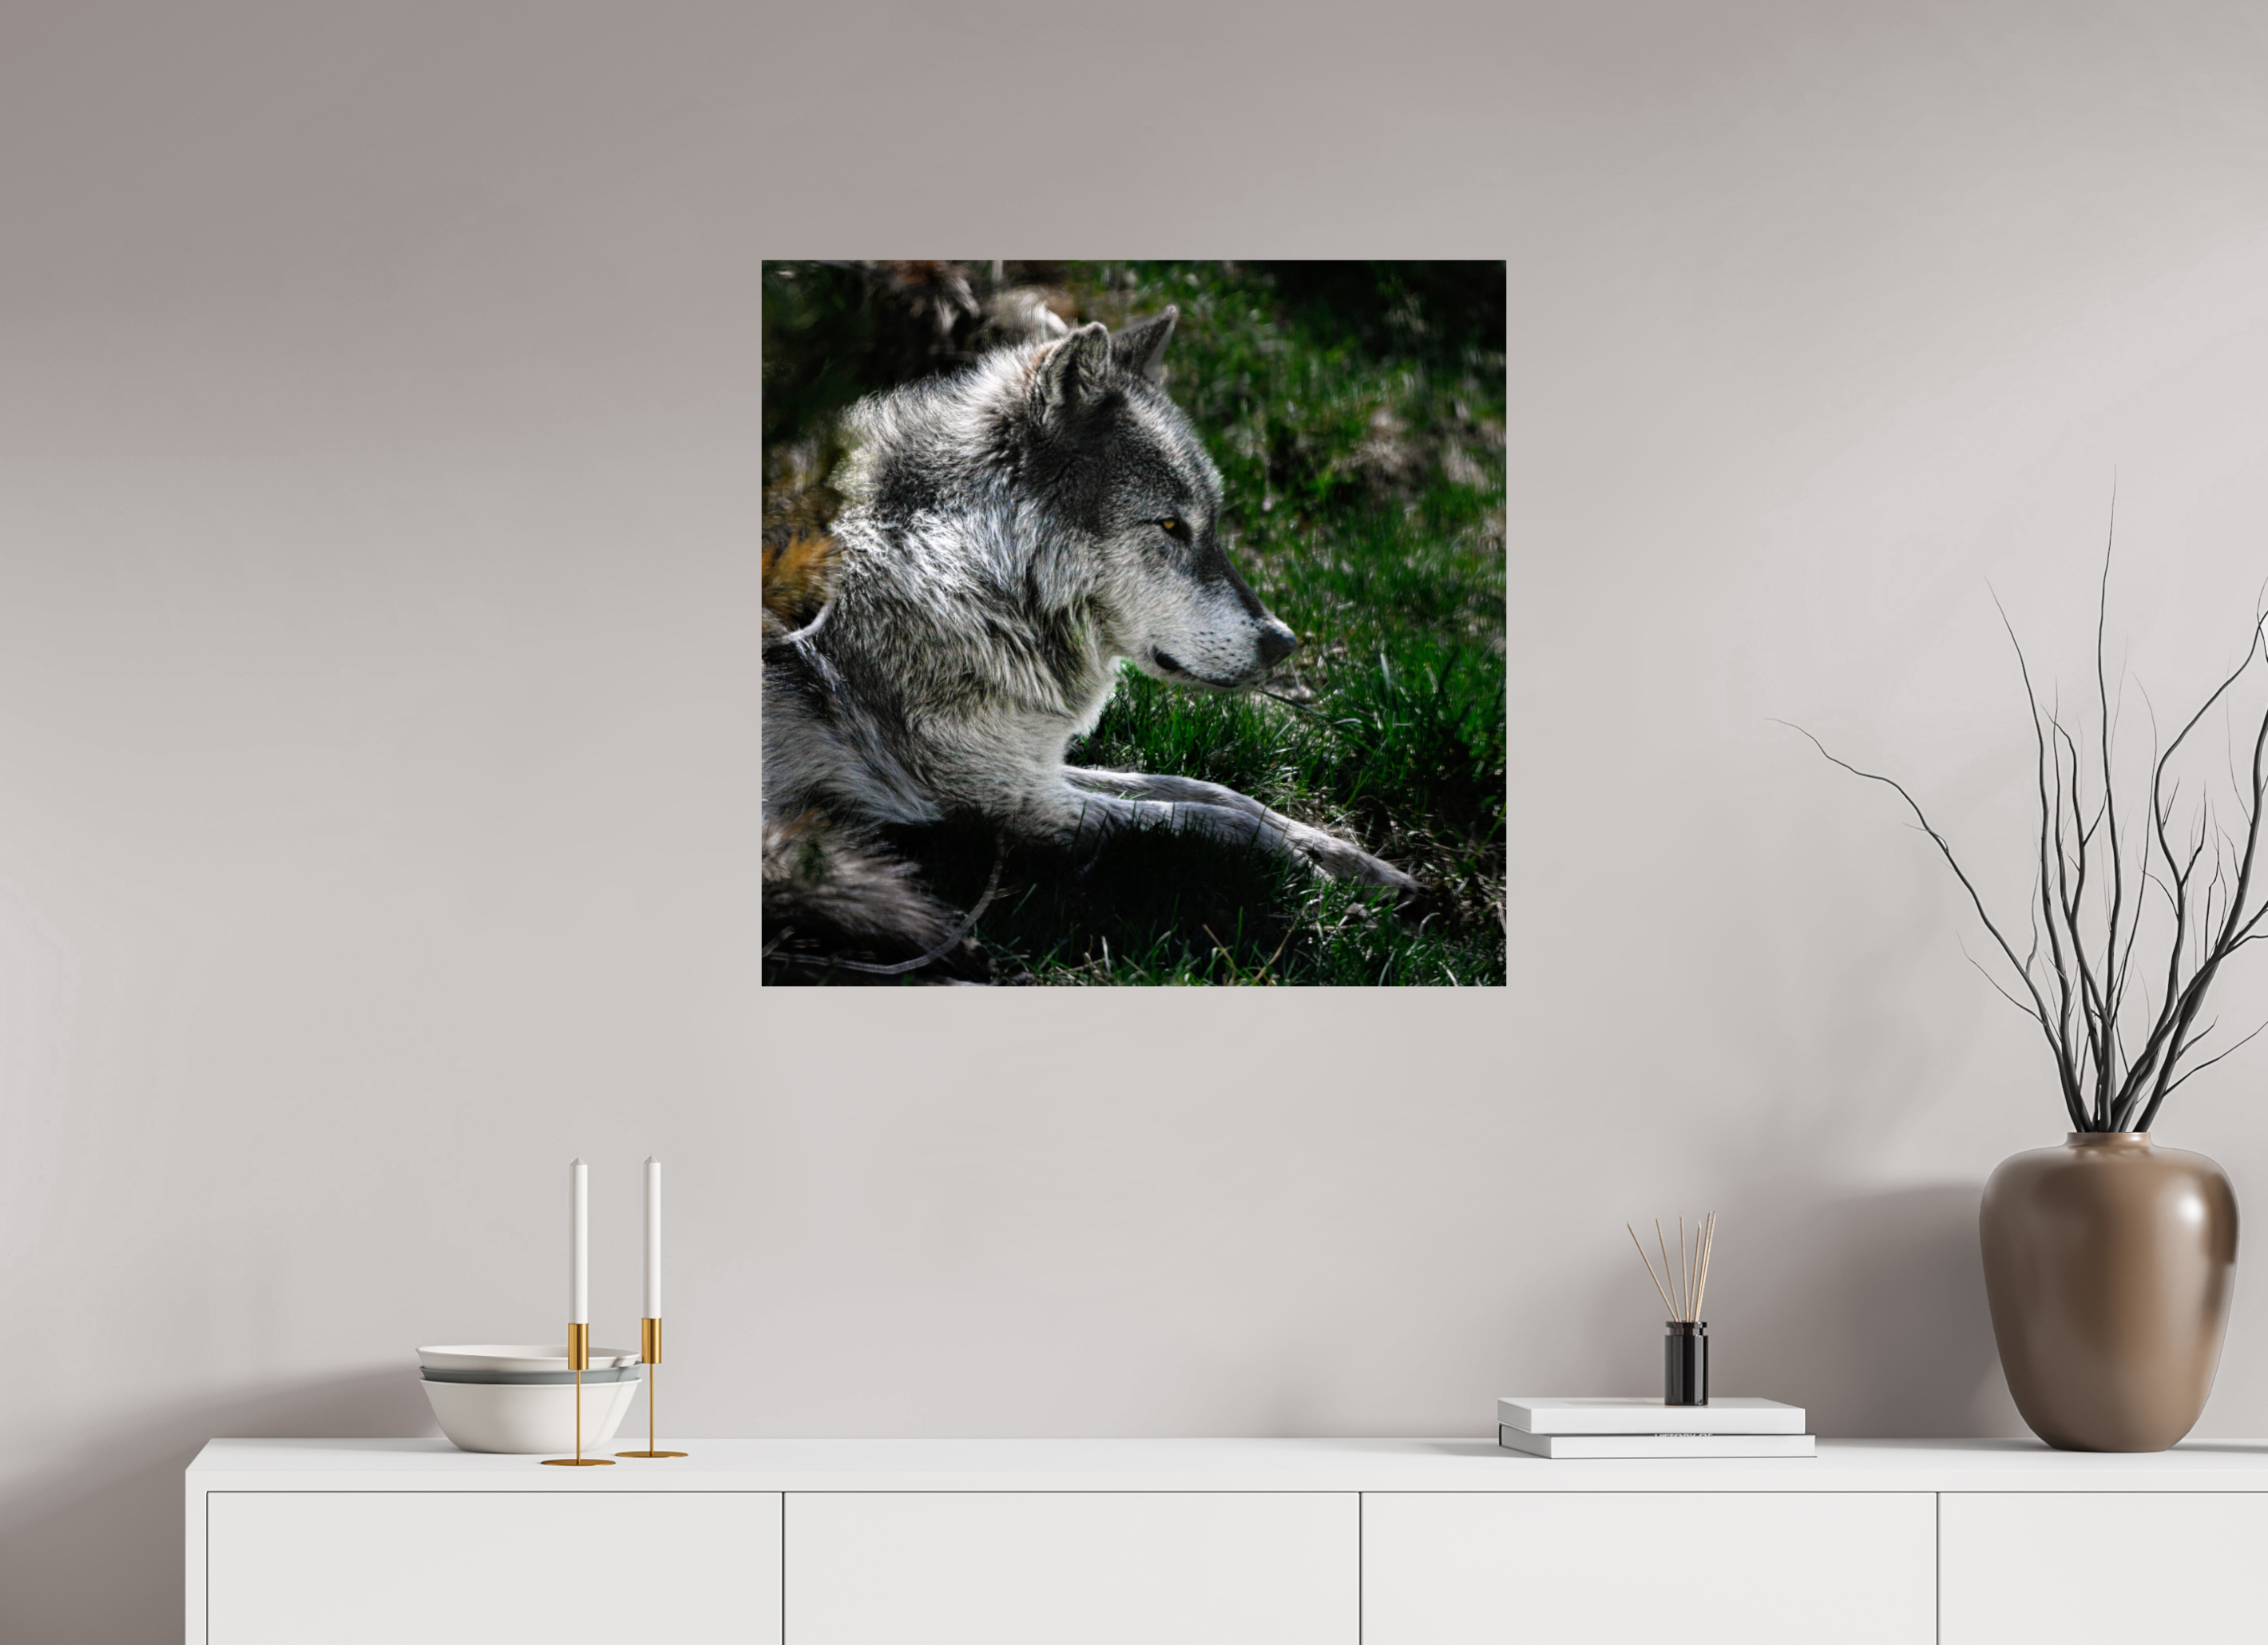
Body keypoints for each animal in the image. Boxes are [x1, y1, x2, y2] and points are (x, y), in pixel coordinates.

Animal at [763, 306, 1417, 891]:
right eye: (1171, 526)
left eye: (1211, 523)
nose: (1284, 642)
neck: (957, 568)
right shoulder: (1009, 805)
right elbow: (1206, 820)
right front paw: (1307, 872)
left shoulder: (1034, 767)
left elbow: (1208, 790)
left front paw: (1356, 861)